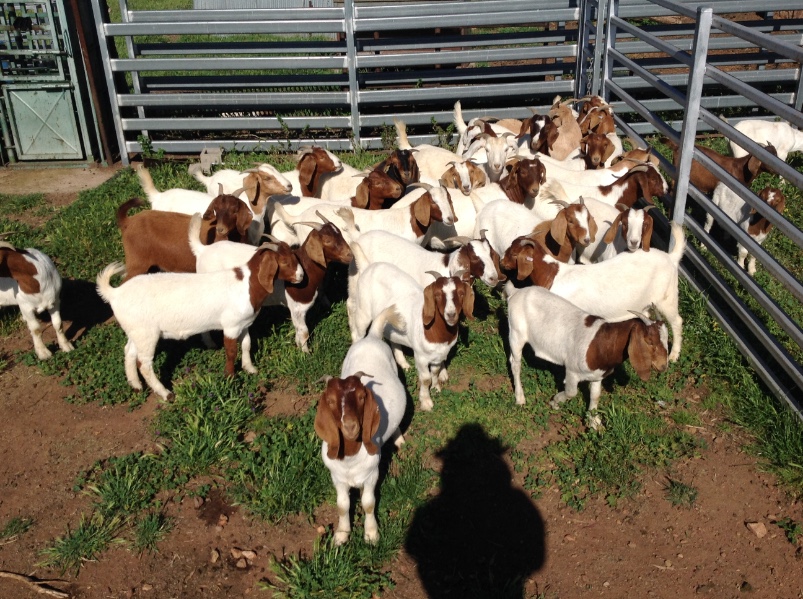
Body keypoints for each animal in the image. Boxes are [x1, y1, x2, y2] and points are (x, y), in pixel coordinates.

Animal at [95, 241, 303, 400]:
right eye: (285, 262)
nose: (301, 276)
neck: (247, 284)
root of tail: (114, 293)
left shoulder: (243, 324)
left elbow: (246, 344)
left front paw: (250, 368)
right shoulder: (230, 325)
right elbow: (231, 352)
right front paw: (230, 377)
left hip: (136, 330)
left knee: (129, 352)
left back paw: (136, 386)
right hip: (146, 333)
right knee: (144, 364)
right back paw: (166, 394)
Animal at [315, 304, 407, 545]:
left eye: (361, 396)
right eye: (330, 400)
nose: (350, 426)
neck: (350, 461)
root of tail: (372, 336)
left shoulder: (371, 475)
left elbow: (368, 503)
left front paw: (371, 534)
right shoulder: (337, 478)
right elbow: (342, 505)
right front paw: (341, 535)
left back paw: (399, 438)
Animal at [348, 256, 474, 411]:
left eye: (462, 293)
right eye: (437, 294)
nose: (451, 315)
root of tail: (369, 267)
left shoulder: (438, 356)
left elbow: (435, 372)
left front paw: (436, 388)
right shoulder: (420, 356)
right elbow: (425, 379)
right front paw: (426, 402)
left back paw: (403, 363)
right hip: (363, 310)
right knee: (358, 334)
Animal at [501, 221, 685, 361]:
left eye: (514, 253)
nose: (502, 263)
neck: (552, 274)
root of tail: (671, 257)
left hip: (667, 298)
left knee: (677, 321)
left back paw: (673, 355)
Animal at [508, 286, 668, 429]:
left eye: (667, 339)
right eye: (650, 341)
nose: (663, 366)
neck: (601, 343)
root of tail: (516, 292)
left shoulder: (597, 375)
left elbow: (595, 395)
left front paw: (593, 422)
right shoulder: (572, 371)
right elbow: (571, 393)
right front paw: (555, 402)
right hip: (516, 334)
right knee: (515, 364)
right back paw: (520, 398)